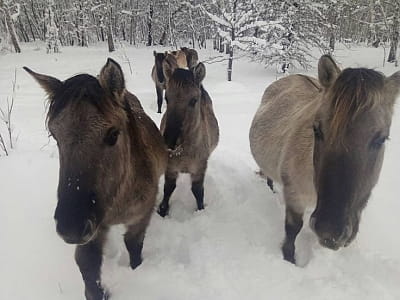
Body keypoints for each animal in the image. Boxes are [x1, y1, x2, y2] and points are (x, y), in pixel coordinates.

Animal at [23, 59, 167, 300]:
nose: (70, 227)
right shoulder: (94, 229)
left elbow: (134, 247)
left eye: (113, 134)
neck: (118, 199)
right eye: (55, 135)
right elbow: (87, 266)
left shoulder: (141, 216)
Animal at [156, 54, 219, 217]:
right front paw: (163, 210)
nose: (169, 141)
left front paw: (201, 210)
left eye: (193, 100)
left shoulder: (199, 169)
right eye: (167, 98)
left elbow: (198, 191)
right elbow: (168, 188)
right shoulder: (170, 168)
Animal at [250, 55, 400, 264]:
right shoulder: (294, 194)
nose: (330, 230)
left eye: (381, 139)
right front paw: (289, 259)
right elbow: (292, 229)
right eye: (317, 130)